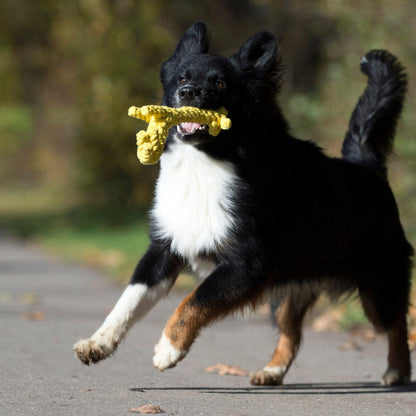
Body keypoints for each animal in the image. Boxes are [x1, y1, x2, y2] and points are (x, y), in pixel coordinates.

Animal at [75, 22, 412, 386]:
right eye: (182, 78)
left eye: (220, 83)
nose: (188, 93)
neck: (207, 163)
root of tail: (366, 166)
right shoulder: (164, 249)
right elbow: (130, 299)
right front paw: (98, 342)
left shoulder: (246, 264)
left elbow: (193, 302)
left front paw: (168, 348)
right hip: (289, 288)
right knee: (293, 332)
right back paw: (272, 370)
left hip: (378, 284)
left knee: (396, 323)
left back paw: (397, 370)